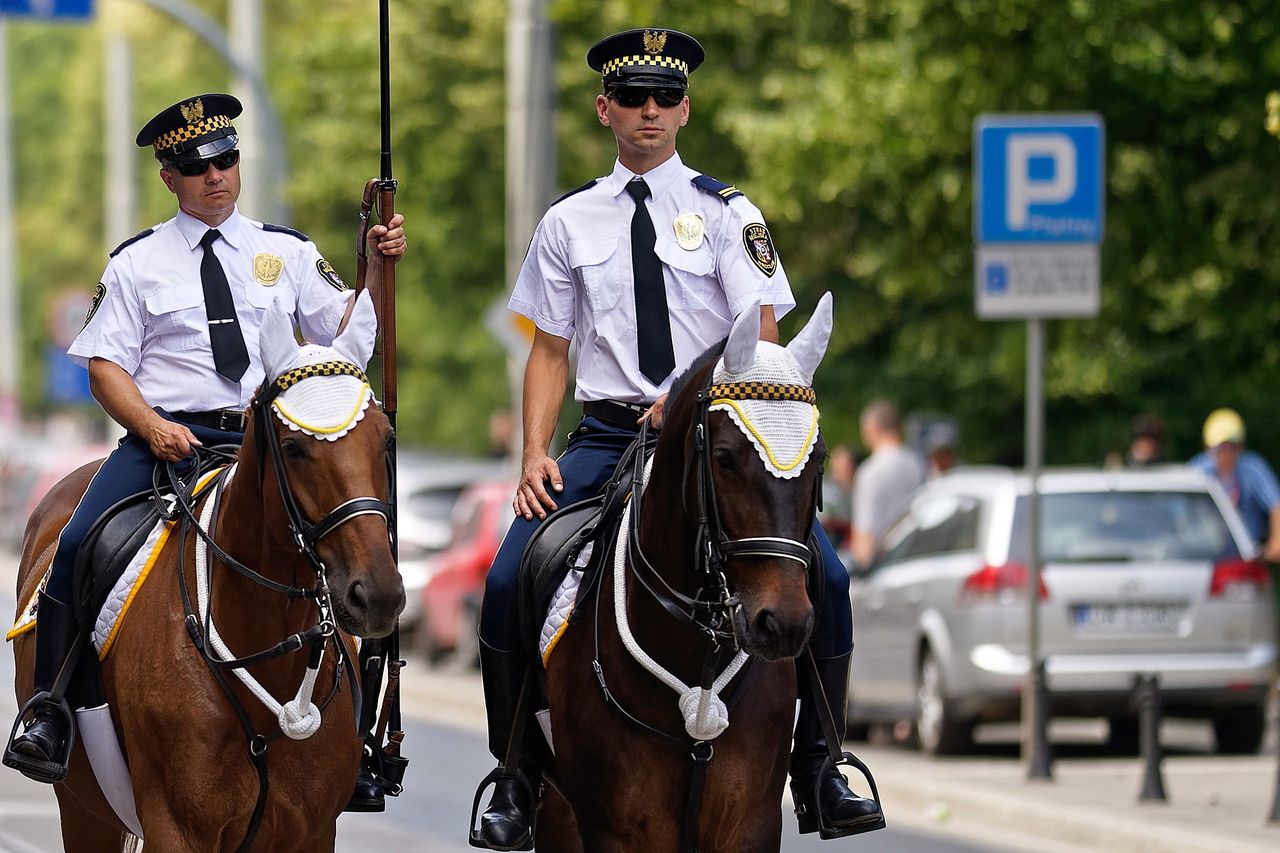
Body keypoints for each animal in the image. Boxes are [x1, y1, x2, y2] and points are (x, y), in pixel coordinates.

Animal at [8, 290, 399, 845]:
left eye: (385, 439)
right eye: (294, 447)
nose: (378, 595)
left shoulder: (314, 833)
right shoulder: (175, 828)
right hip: (85, 813)